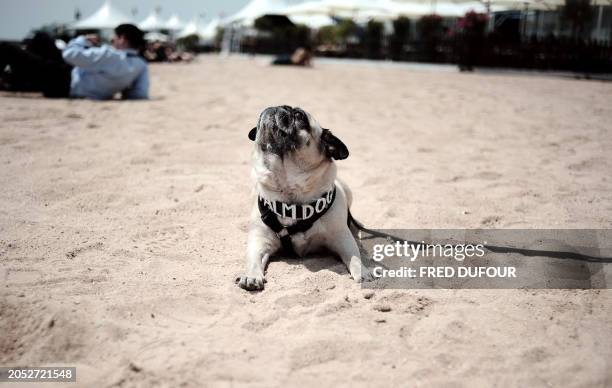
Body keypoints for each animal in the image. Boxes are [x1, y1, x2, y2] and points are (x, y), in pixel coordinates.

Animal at [238, 104, 372, 290]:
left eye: (299, 115)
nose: (277, 107)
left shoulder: (341, 237)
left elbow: (354, 256)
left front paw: (363, 272)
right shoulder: (259, 239)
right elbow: (252, 259)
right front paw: (251, 276)